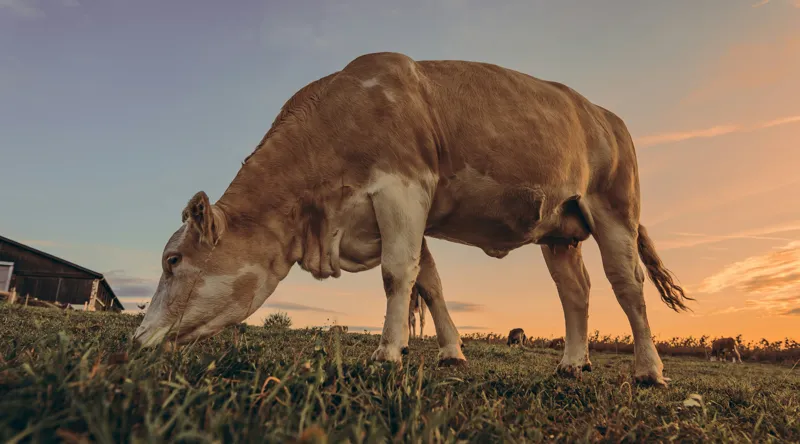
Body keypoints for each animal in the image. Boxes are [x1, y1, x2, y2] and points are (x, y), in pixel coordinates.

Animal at [132, 52, 691, 387]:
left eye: (173, 260)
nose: (136, 339)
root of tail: (603, 114)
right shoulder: (401, 211)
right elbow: (430, 282)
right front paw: (451, 352)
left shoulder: (402, 189)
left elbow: (397, 274)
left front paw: (388, 350)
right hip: (559, 230)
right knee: (575, 291)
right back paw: (573, 363)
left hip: (615, 208)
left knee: (628, 285)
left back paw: (648, 369)